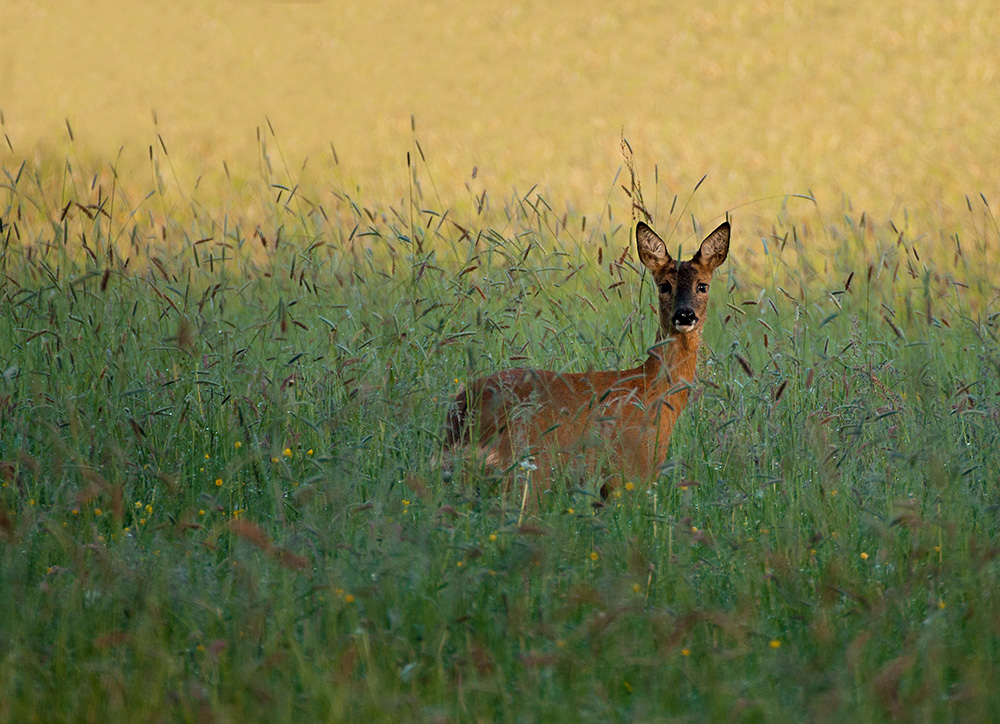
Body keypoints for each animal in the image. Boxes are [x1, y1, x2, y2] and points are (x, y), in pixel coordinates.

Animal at [450, 218, 732, 494]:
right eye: (664, 285)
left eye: (702, 286)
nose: (685, 314)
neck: (652, 391)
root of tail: (462, 411)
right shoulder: (629, 472)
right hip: (527, 469)